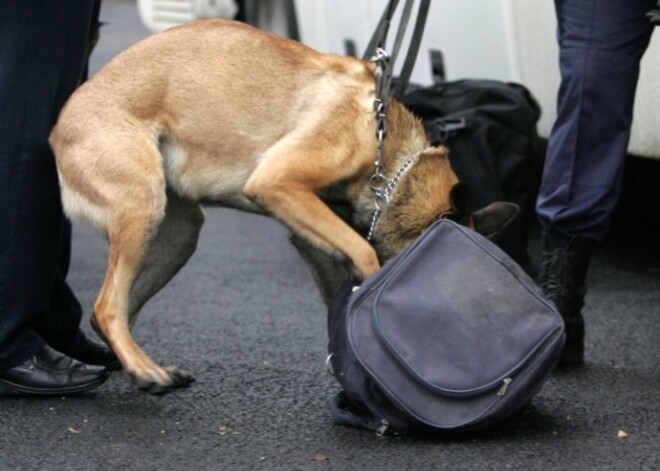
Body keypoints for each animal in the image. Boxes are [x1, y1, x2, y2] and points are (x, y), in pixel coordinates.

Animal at [50, 18, 516, 394]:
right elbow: (364, 252)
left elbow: (340, 295)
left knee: (114, 311)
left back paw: (143, 366)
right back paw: (146, 372)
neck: (389, 153)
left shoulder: (313, 240)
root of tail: (59, 127)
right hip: (142, 208)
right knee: (107, 307)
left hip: (177, 235)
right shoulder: (278, 184)